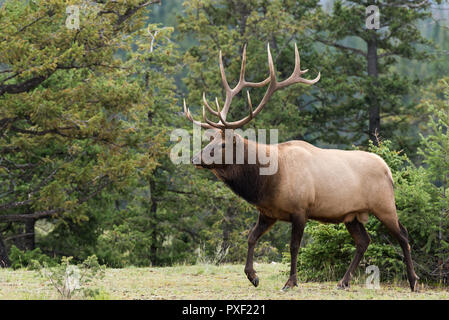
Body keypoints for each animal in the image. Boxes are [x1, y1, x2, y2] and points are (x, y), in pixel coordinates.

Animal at [181, 43, 416, 292]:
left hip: (384, 204)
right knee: (364, 241)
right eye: (210, 140)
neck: (267, 181)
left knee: (403, 235)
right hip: (352, 215)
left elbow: (294, 247)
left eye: (223, 143)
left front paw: (291, 281)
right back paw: (343, 282)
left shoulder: (300, 209)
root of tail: (388, 169)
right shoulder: (268, 212)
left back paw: (413, 280)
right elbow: (251, 237)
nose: (195, 158)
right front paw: (252, 276)